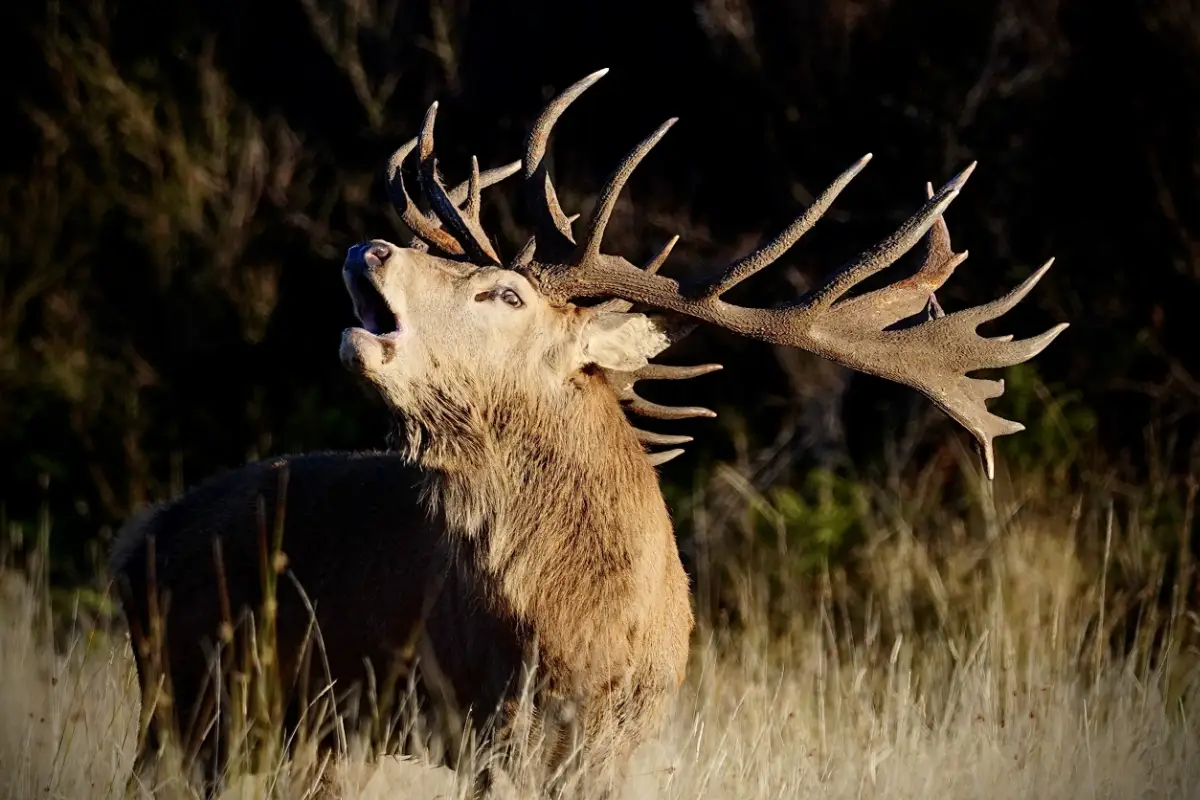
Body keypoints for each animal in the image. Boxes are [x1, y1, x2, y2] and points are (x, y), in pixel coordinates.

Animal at [108, 69, 1067, 799]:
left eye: (504, 292)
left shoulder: (616, 736)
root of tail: (141, 536)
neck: (591, 622)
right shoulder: (491, 719)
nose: (368, 248)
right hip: (200, 693)